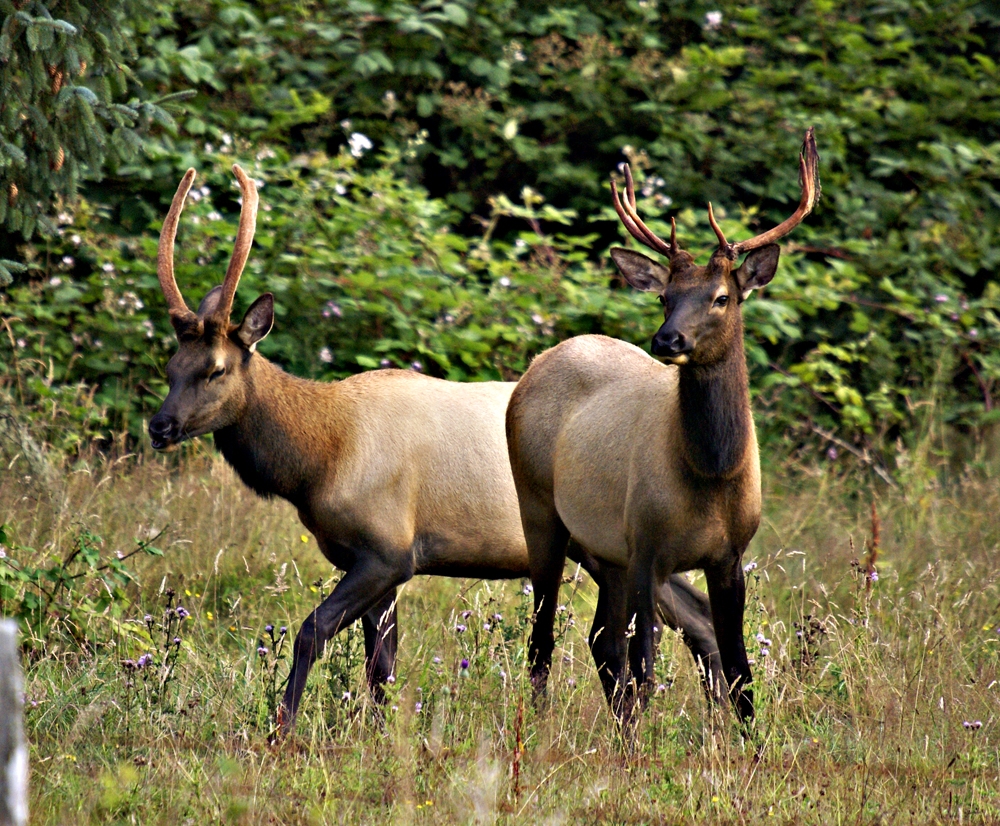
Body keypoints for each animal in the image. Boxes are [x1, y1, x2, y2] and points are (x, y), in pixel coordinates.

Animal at [148, 164, 729, 736]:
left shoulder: (388, 550)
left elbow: (314, 632)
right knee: (699, 617)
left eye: (215, 369)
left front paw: (281, 731)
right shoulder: (369, 560)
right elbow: (381, 667)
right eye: (171, 368)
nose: (160, 425)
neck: (318, 461)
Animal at [506, 128, 820, 728]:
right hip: (541, 511)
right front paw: (648, 744)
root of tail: (540, 361)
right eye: (664, 297)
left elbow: (740, 671)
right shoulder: (647, 544)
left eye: (722, 298)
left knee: (601, 640)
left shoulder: (728, 555)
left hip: (604, 548)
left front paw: (751, 742)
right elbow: (647, 670)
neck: (710, 473)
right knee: (544, 639)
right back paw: (532, 728)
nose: (667, 338)